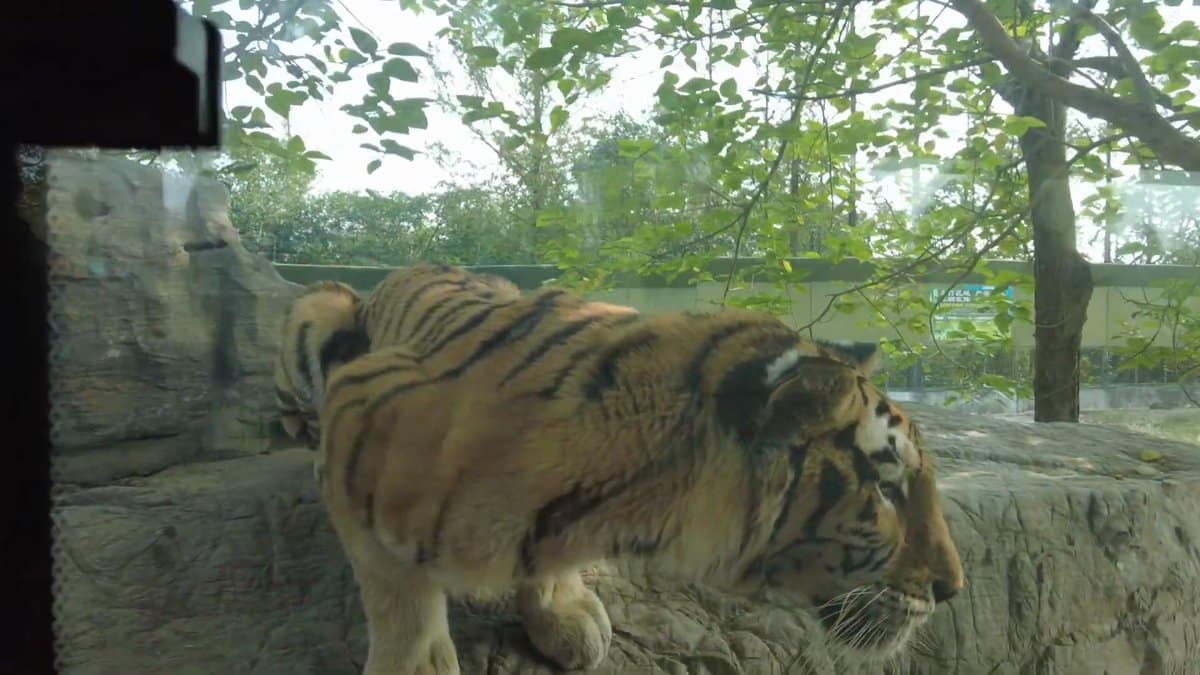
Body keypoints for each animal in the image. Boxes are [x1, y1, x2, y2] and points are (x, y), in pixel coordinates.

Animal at [315, 278, 966, 675]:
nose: (951, 590)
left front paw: (564, 612)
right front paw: (417, 661)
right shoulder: (356, 402)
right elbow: (398, 590)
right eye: (886, 489)